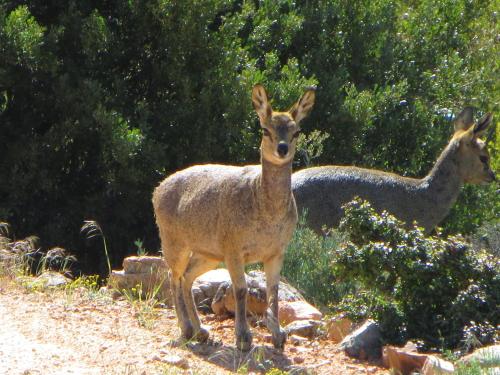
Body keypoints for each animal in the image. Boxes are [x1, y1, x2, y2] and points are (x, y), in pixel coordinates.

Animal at [153, 85, 316, 352]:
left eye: (296, 131)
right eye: (265, 129)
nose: (282, 149)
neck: (266, 210)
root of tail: (157, 191)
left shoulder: (277, 251)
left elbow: (273, 291)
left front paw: (278, 336)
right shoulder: (233, 248)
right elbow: (241, 290)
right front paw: (243, 338)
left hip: (207, 253)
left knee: (187, 277)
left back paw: (201, 331)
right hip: (173, 242)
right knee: (173, 276)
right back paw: (186, 330)